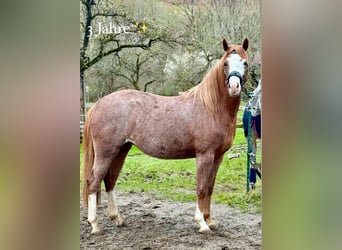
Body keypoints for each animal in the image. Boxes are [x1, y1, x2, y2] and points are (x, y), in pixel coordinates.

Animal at [83, 38, 248, 233]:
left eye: (245, 63)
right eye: (225, 64)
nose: (234, 87)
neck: (211, 108)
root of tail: (97, 104)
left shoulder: (218, 156)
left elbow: (209, 188)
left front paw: (210, 220)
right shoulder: (205, 155)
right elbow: (201, 188)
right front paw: (201, 223)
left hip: (121, 150)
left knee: (110, 181)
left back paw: (117, 219)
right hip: (106, 152)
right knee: (94, 181)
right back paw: (94, 224)